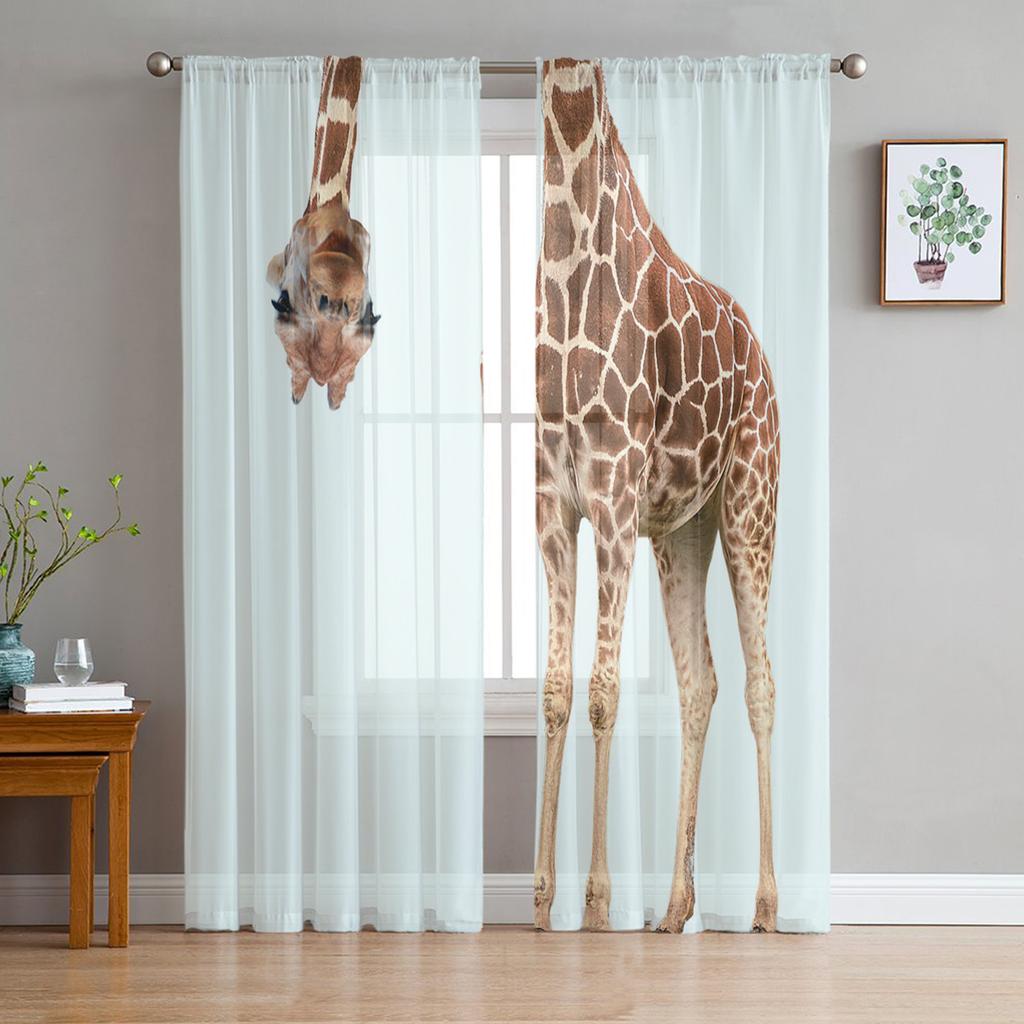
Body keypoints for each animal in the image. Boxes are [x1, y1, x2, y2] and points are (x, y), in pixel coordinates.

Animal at [534, 59, 781, 934]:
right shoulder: (552, 505)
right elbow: (557, 690)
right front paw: (542, 900)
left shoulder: (610, 496)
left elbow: (604, 692)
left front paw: (598, 901)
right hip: (683, 532)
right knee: (700, 683)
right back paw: (676, 906)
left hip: (751, 507)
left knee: (762, 684)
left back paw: (766, 905)